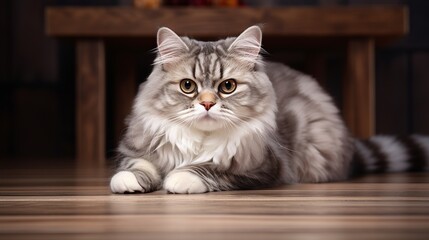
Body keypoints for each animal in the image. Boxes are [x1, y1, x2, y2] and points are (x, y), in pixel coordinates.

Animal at [110, 25, 428, 194]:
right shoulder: (138, 149)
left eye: (228, 86)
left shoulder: (261, 165)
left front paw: (179, 177)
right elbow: (137, 166)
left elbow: (208, 167)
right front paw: (128, 181)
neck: (199, 140)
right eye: (188, 86)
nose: (208, 103)